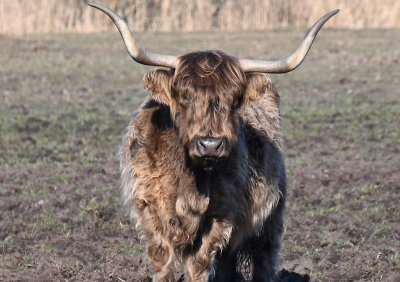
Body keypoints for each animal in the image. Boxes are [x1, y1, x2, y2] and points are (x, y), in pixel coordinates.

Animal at [89, 2, 340, 282]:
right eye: (184, 97)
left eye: (234, 100)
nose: (209, 145)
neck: (190, 178)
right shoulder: (148, 203)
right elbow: (163, 258)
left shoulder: (223, 211)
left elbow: (200, 261)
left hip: (272, 217)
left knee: (263, 257)